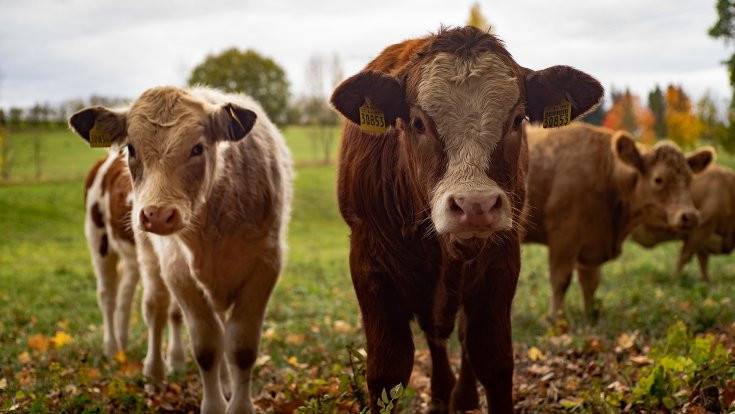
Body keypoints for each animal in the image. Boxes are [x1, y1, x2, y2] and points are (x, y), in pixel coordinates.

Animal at [72, 86, 294, 414]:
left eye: (198, 148)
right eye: (131, 149)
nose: (157, 214)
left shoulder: (265, 265)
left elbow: (240, 346)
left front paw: (235, 400)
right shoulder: (178, 270)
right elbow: (206, 345)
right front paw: (214, 405)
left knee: (131, 297)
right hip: (106, 242)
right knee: (131, 302)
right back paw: (131, 358)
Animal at [332, 26, 604, 414]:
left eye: (517, 120)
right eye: (418, 123)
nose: (475, 205)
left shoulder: (502, 264)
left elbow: (493, 359)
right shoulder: (370, 266)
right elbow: (388, 371)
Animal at [524, 123, 712, 316]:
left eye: (689, 179)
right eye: (658, 179)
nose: (690, 215)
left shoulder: (591, 246)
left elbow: (590, 284)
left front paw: (589, 316)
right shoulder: (563, 237)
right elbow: (560, 281)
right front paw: (555, 319)